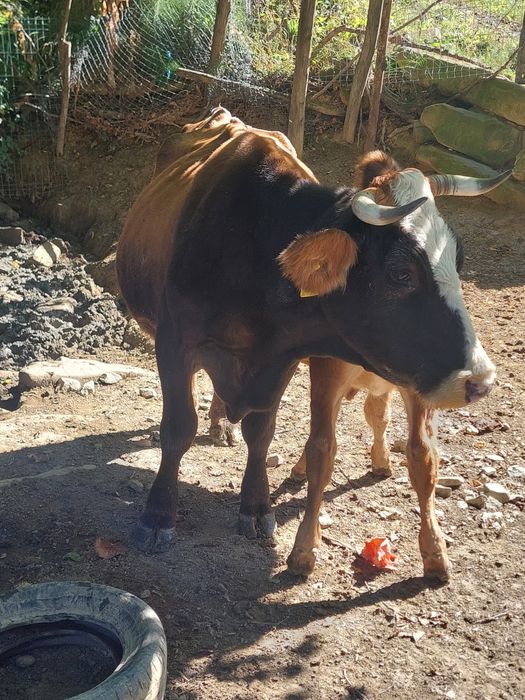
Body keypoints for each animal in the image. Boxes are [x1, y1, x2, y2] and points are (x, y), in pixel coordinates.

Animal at [116, 106, 508, 581]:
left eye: (458, 261)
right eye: (400, 273)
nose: (481, 379)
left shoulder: (280, 360)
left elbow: (261, 433)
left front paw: (255, 506)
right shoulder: (175, 344)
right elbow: (177, 428)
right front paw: (157, 515)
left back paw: (222, 422)